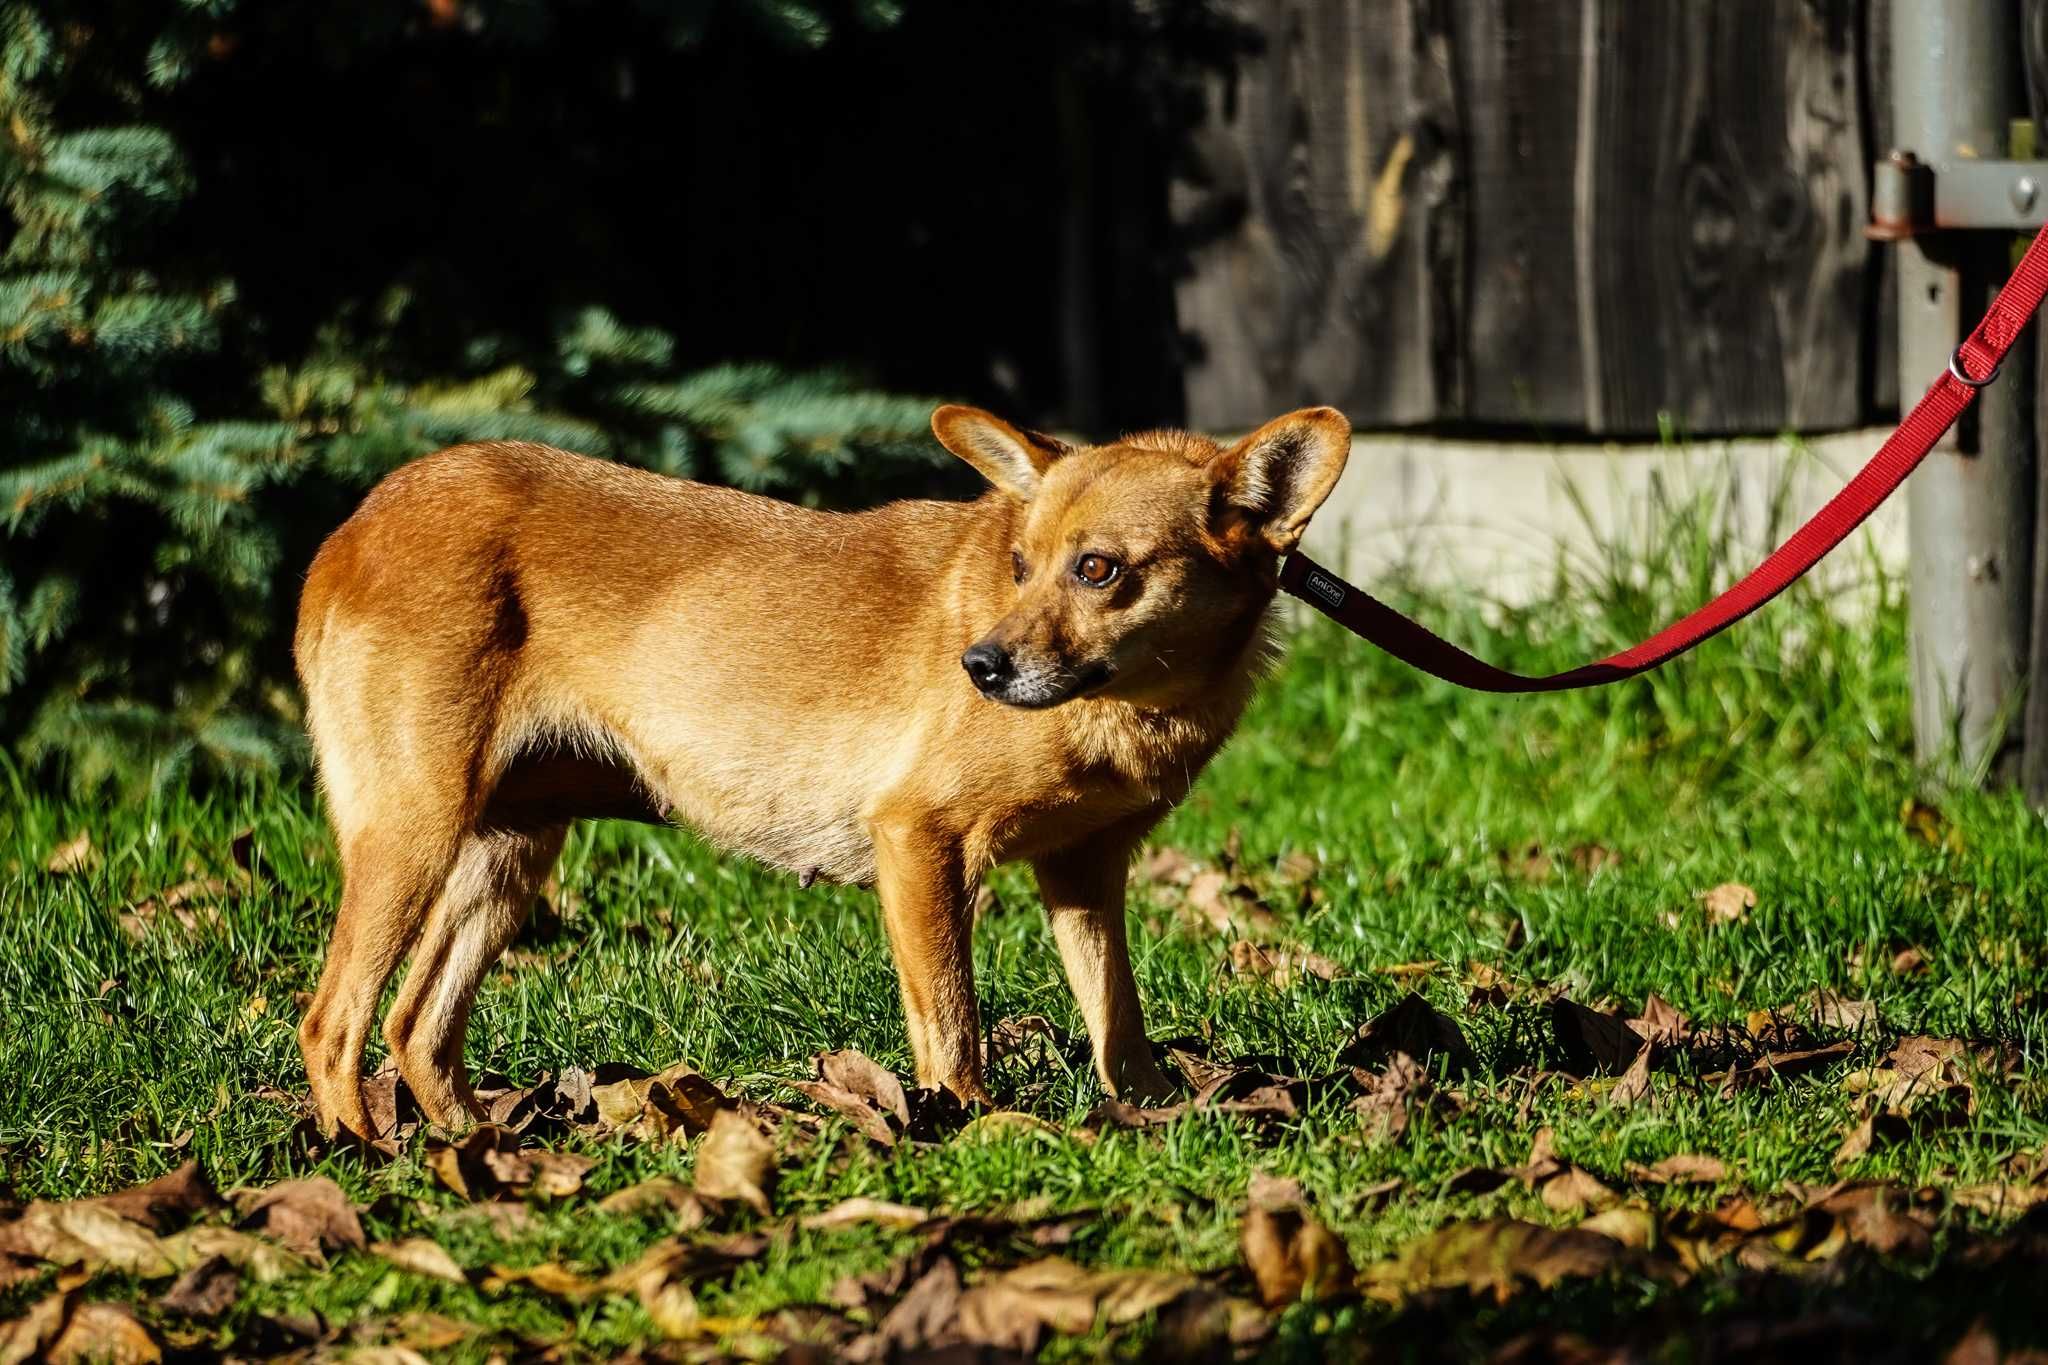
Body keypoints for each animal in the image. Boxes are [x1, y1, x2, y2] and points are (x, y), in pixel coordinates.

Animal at [288, 405, 1343, 1146]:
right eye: (1018, 564)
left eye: (1097, 570)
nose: (980, 666)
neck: (1132, 710)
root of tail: (354, 524)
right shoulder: (920, 843)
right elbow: (952, 1026)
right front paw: (975, 1126)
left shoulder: (1084, 871)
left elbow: (1117, 1018)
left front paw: (1154, 1111)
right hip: (412, 834)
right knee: (334, 1023)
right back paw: (368, 1154)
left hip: (505, 859)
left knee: (416, 1025)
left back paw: (473, 1149)